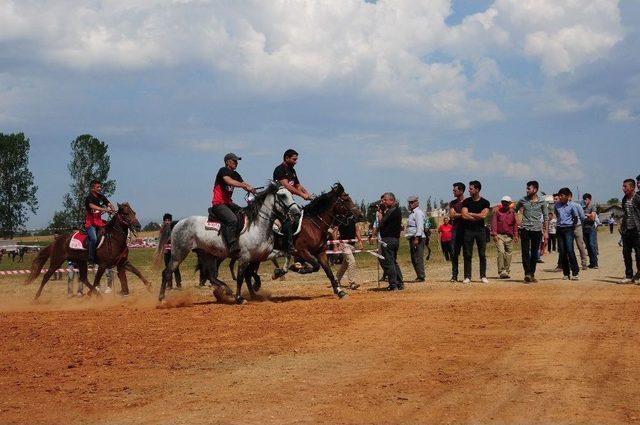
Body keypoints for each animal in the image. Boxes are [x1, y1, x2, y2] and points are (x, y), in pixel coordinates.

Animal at [159, 181, 302, 304]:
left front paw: (279, 272)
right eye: (283, 195)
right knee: (167, 272)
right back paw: (161, 299)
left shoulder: (262, 255)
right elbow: (241, 277)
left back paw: (226, 290)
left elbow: (286, 255)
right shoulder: (244, 258)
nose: (297, 213)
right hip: (180, 253)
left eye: (291, 194)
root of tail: (177, 222)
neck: (257, 226)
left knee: (210, 275)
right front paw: (240, 298)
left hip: (206, 254)